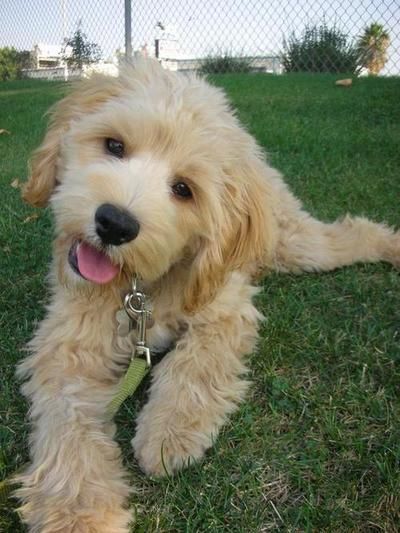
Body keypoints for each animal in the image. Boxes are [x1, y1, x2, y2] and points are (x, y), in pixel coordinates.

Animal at [17, 59, 398, 528]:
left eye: (184, 189)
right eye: (114, 145)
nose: (114, 223)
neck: (143, 286)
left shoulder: (225, 307)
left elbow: (195, 364)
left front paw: (169, 432)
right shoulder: (68, 346)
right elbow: (67, 425)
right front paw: (80, 514)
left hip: (296, 245)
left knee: (352, 233)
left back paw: (391, 246)